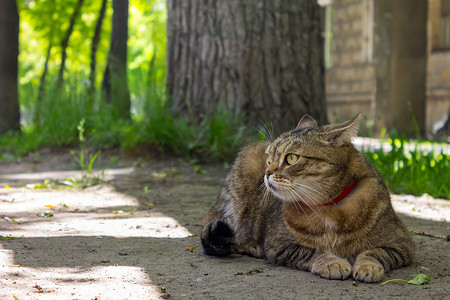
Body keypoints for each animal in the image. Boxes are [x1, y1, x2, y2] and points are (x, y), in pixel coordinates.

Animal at [202, 113, 414, 282]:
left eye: (291, 158)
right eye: (269, 158)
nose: (266, 172)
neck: (329, 207)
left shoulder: (401, 243)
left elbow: (375, 252)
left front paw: (368, 266)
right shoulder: (280, 245)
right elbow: (311, 251)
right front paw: (332, 262)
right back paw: (253, 246)